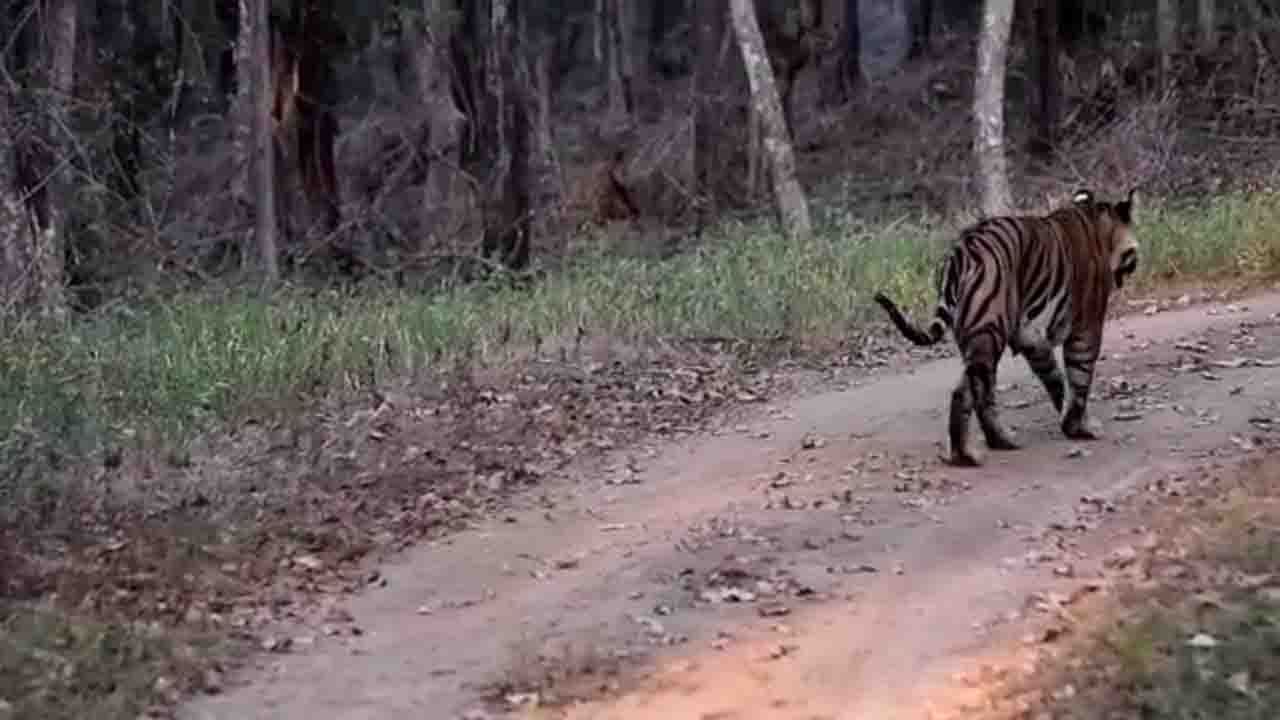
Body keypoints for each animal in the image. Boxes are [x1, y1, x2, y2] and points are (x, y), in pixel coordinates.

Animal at [875, 188, 1136, 466]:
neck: (1097, 224)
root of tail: (962, 249)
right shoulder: (1086, 328)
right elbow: (1079, 379)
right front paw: (1080, 427)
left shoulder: (1030, 337)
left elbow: (1055, 379)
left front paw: (1068, 421)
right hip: (989, 332)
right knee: (973, 393)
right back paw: (975, 451)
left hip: (978, 338)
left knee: (970, 391)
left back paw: (983, 445)